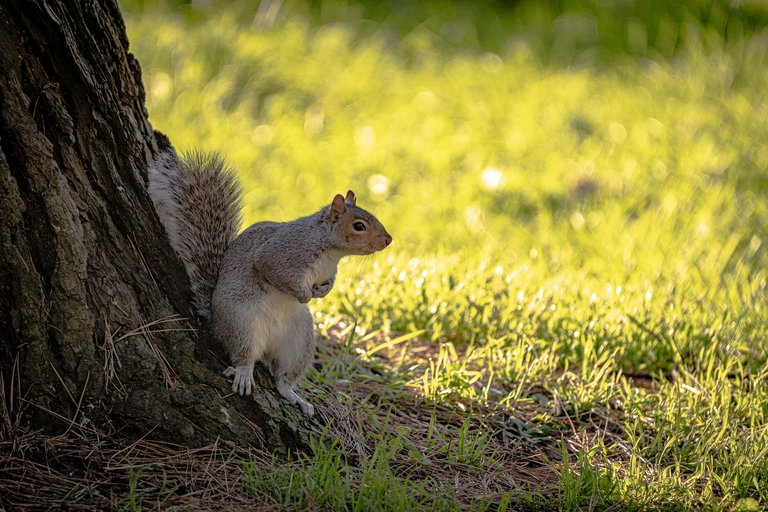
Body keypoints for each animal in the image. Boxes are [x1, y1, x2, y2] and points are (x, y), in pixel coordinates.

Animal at [148, 148, 392, 416]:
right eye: (359, 226)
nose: (388, 240)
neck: (331, 252)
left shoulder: (328, 271)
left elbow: (328, 284)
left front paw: (321, 292)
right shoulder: (280, 255)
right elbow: (277, 274)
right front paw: (305, 295)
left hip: (299, 342)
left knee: (283, 378)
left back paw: (295, 396)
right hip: (241, 322)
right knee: (244, 356)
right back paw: (244, 374)